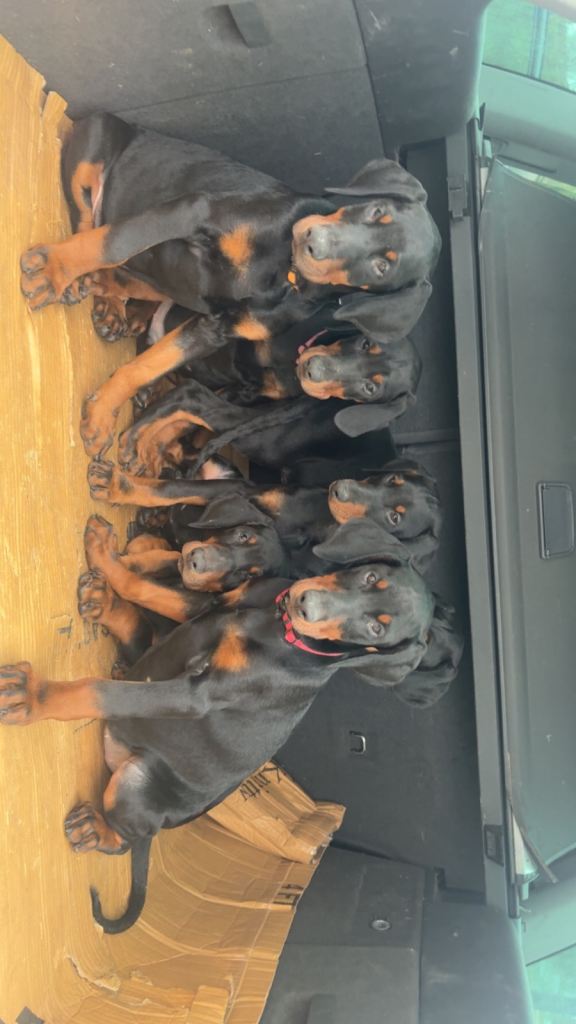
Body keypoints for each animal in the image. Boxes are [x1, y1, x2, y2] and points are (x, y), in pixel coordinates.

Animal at [0, 518, 462, 933]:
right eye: (369, 576)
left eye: (374, 629)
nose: (306, 604)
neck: (278, 628)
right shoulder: (211, 610)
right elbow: (151, 589)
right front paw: (112, 554)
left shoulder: (194, 696)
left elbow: (99, 691)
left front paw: (33, 697)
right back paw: (104, 602)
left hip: (135, 786)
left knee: (125, 838)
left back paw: (95, 830)